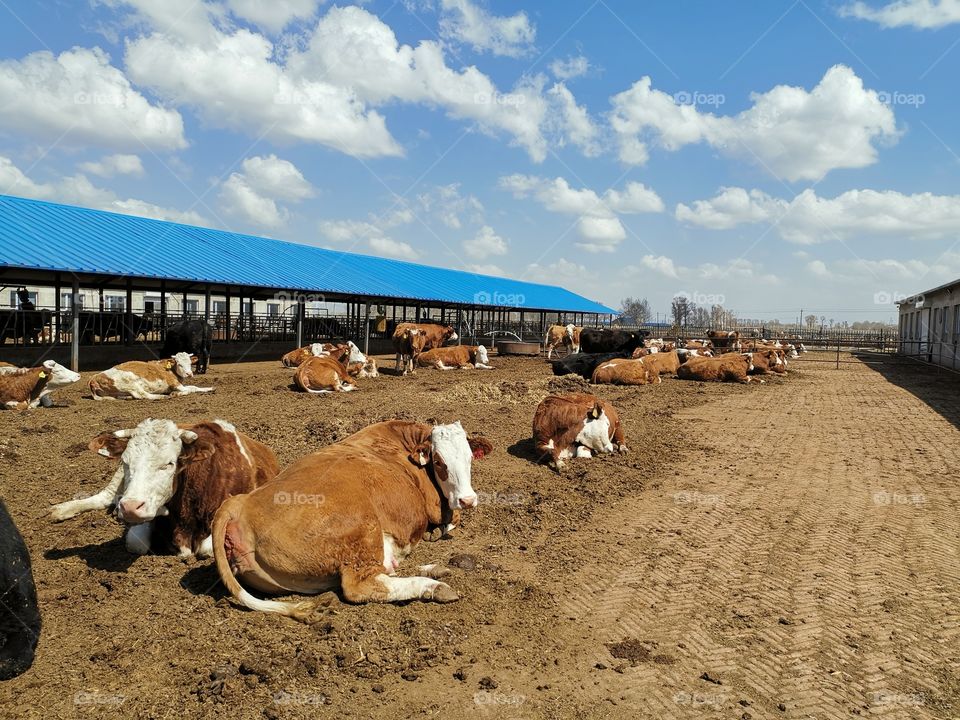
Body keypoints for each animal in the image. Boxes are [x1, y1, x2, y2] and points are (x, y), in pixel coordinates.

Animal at [49, 419, 279, 557]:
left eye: (169, 463)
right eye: (126, 460)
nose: (130, 507)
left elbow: (207, 548)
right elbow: (136, 543)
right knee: (105, 497)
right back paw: (62, 510)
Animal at [211, 420, 492, 619]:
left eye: (470, 458)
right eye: (439, 461)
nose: (468, 499)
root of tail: (238, 504)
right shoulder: (436, 507)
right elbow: (451, 519)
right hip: (362, 528)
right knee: (361, 586)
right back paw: (432, 586)